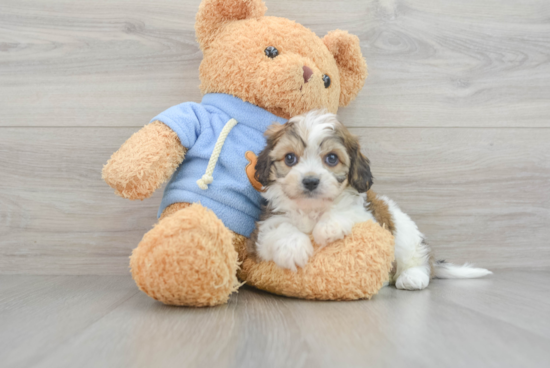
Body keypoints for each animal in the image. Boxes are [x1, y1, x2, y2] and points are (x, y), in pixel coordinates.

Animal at [249, 110, 492, 290]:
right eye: (290, 158)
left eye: (331, 158)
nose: (310, 181)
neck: (313, 209)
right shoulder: (267, 224)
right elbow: (279, 227)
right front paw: (293, 249)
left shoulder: (367, 216)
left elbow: (346, 210)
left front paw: (328, 227)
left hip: (406, 238)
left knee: (418, 262)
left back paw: (412, 277)